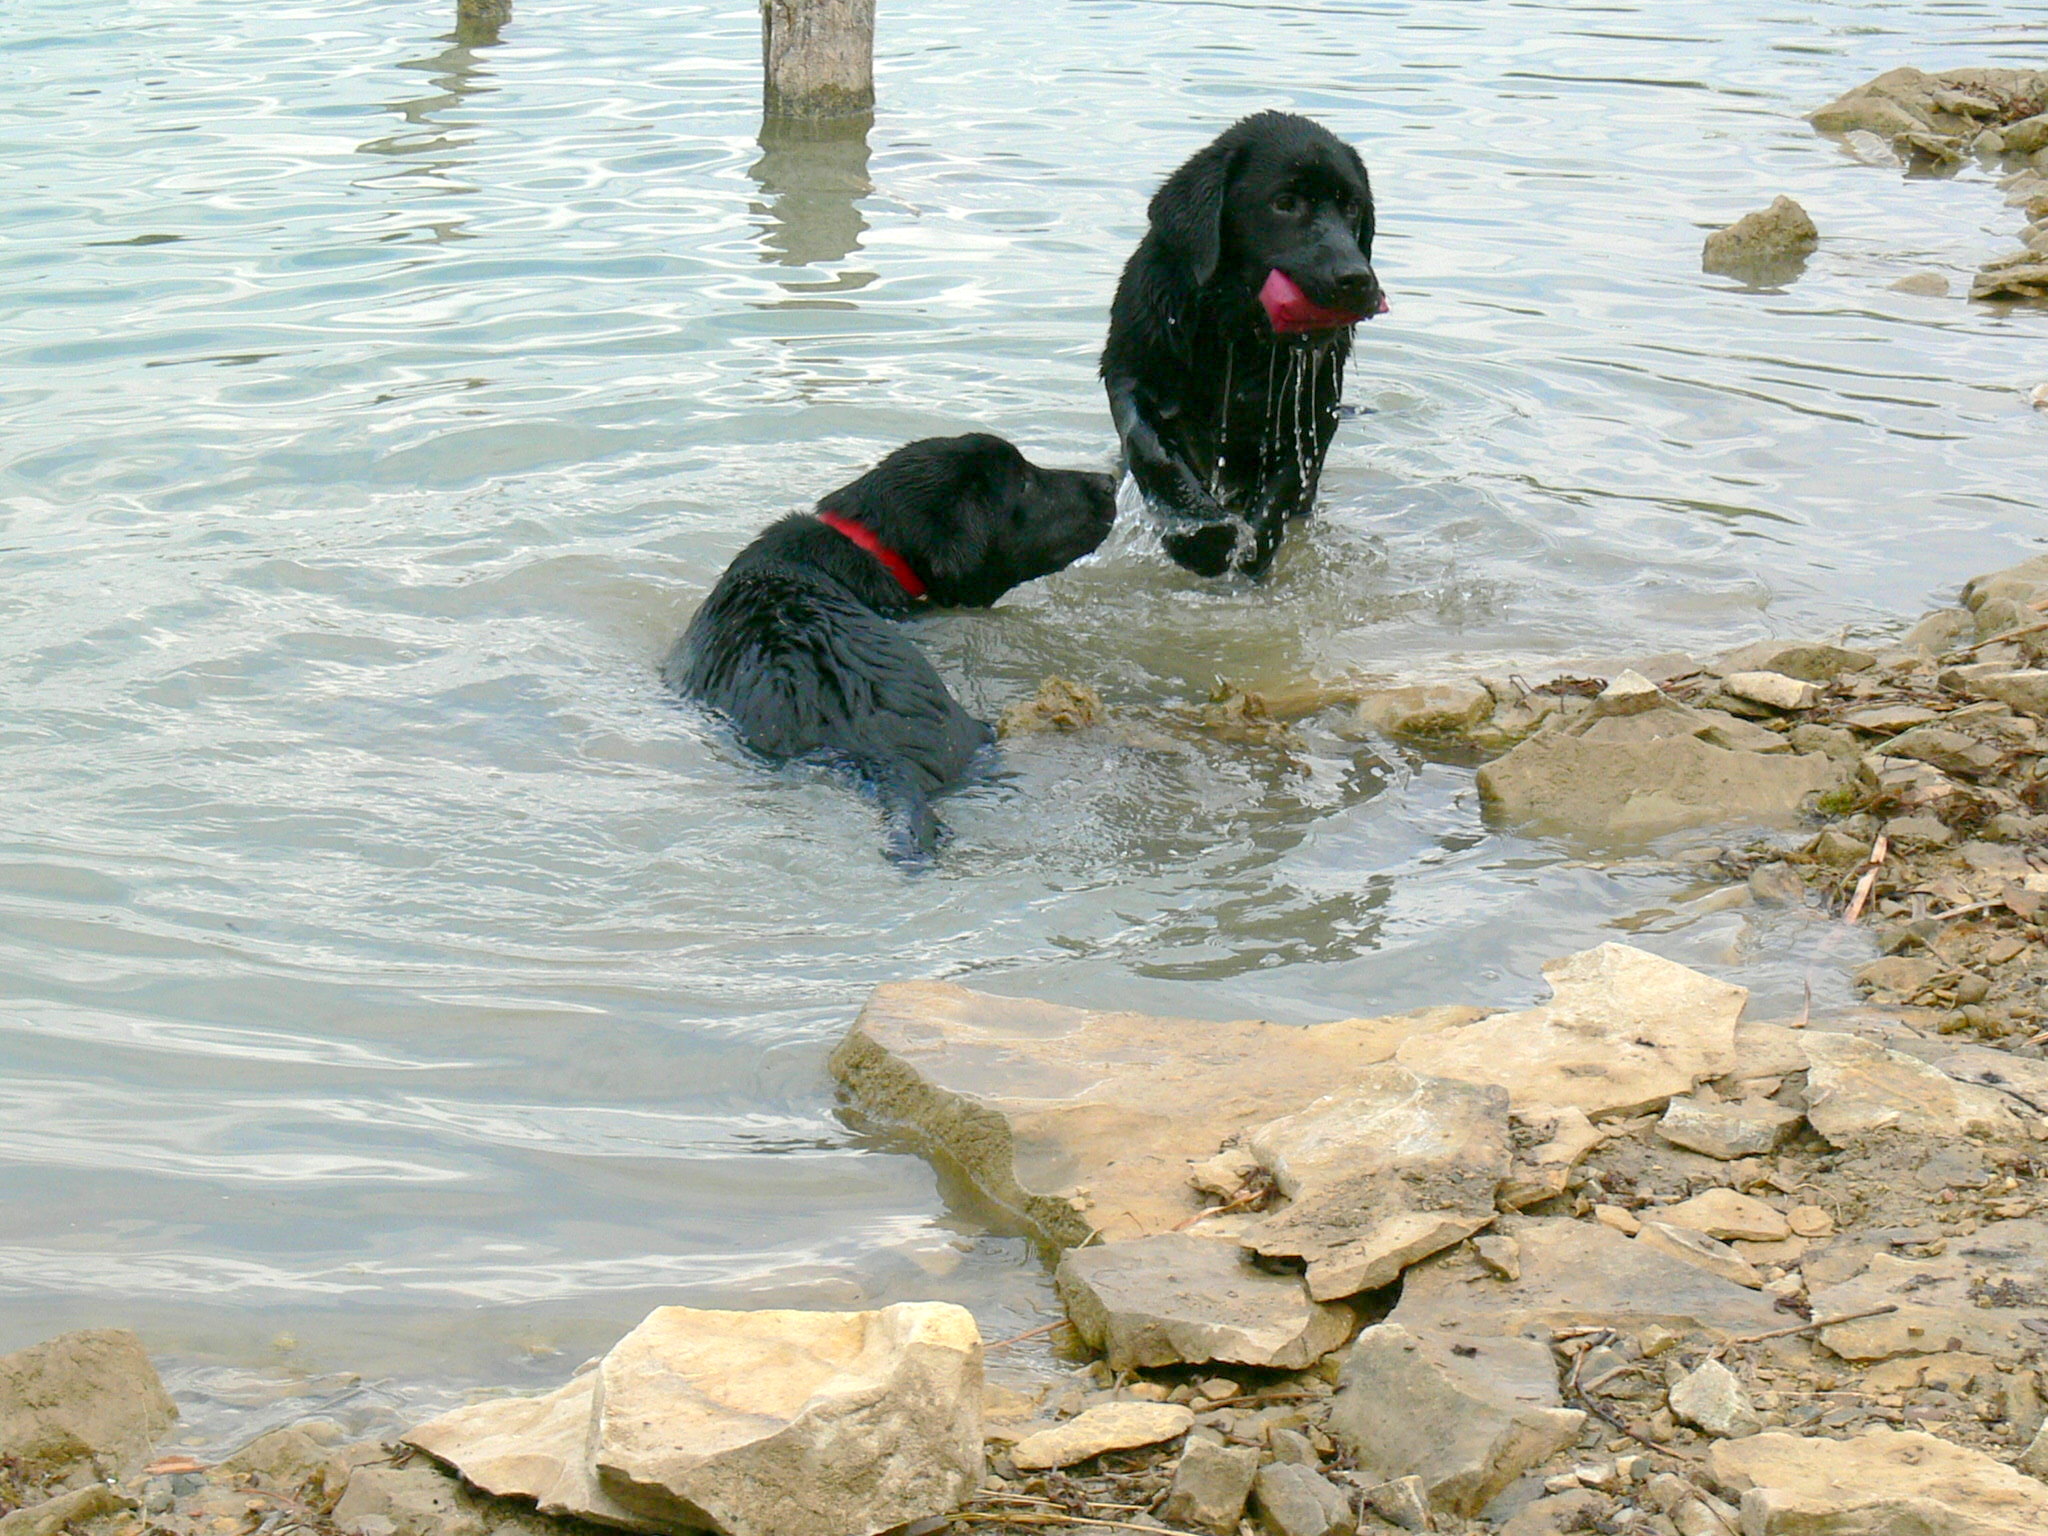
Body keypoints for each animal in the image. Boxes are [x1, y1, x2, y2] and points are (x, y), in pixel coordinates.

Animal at [1105, 107, 1392, 577]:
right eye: (1284, 203)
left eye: (1352, 206)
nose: (1356, 279)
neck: (1236, 330)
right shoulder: (1131, 373)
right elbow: (1150, 449)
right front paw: (1198, 534)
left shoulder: (1313, 408)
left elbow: (1282, 488)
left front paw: (1249, 549)